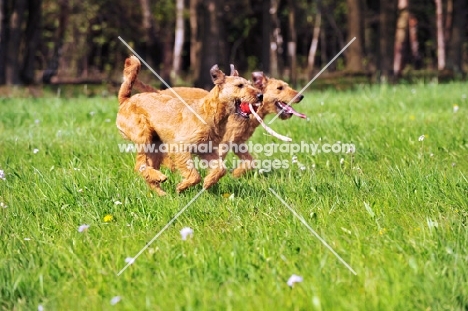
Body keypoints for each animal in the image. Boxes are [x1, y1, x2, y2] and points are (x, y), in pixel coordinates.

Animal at [117, 56, 264, 195]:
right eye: (240, 85)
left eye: (250, 84)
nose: (260, 95)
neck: (209, 111)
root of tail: (126, 100)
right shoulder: (180, 147)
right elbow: (194, 175)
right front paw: (181, 187)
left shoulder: (207, 150)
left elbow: (220, 168)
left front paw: (208, 183)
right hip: (144, 135)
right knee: (139, 165)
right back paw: (160, 178)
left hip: (155, 145)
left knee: (147, 168)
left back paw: (161, 192)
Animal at [133, 70, 306, 179]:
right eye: (280, 88)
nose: (301, 96)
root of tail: (158, 92)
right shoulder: (223, 144)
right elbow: (219, 162)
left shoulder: (238, 143)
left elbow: (250, 161)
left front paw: (236, 174)